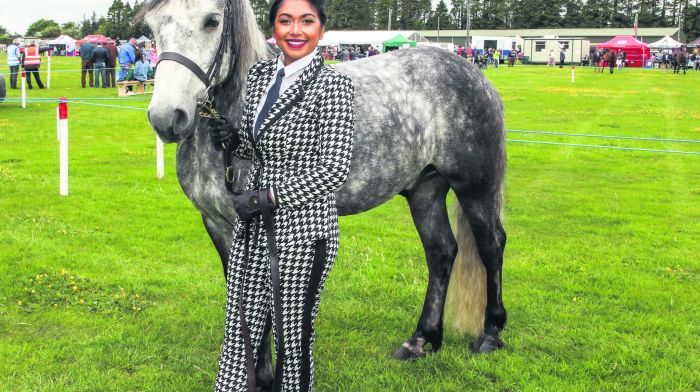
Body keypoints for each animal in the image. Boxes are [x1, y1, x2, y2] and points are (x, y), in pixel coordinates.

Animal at [142, 0, 506, 388]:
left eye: (211, 21)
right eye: (152, 26)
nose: (166, 117)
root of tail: (472, 73)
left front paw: (266, 377)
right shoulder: (218, 223)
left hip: (475, 187)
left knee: (491, 245)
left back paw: (490, 335)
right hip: (426, 189)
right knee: (441, 252)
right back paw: (421, 340)